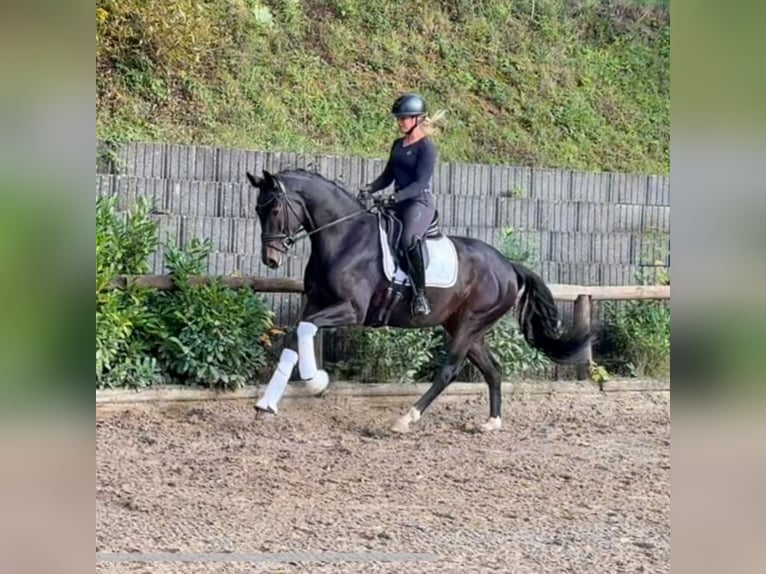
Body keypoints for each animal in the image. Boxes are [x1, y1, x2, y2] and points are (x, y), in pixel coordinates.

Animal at [246, 169, 592, 434]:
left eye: (274, 210)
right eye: (257, 210)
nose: (271, 259)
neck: (344, 238)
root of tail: (508, 266)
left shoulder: (351, 310)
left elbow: (305, 330)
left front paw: (316, 381)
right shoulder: (315, 303)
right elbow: (295, 337)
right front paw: (265, 405)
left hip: (470, 324)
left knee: (448, 371)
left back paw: (405, 419)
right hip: (466, 328)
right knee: (493, 369)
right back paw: (492, 422)